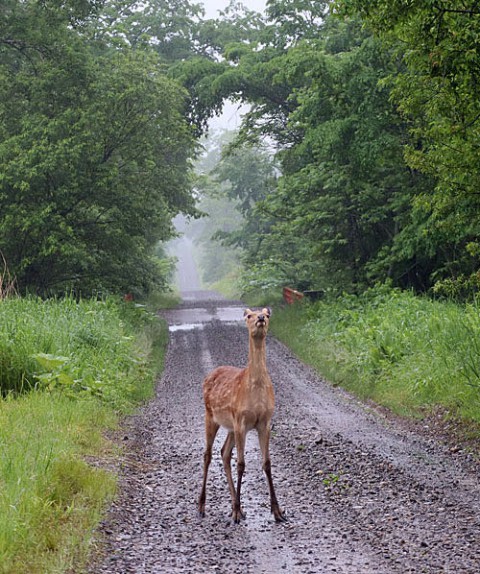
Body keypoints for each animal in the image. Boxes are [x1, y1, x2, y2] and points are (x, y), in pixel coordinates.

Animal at [198, 308, 284, 524]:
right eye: (248, 315)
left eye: (267, 314)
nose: (260, 318)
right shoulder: (242, 421)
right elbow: (241, 464)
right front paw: (237, 511)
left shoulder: (265, 422)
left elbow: (267, 464)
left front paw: (277, 511)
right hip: (210, 415)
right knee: (208, 454)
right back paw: (202, 506)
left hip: (230, 425)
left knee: (223, 452)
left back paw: (236, 507)